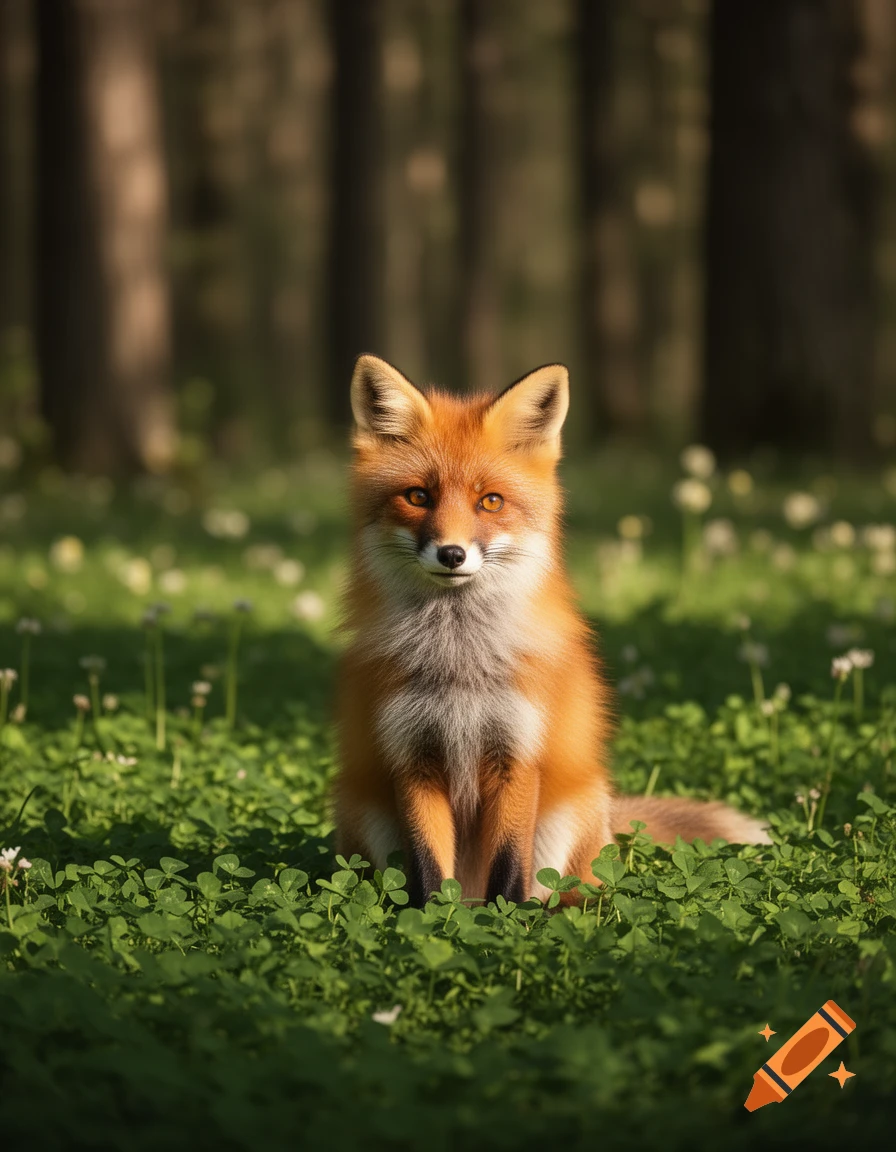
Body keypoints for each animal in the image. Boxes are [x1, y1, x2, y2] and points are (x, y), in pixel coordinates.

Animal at [334, 354, 770, 908]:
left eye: (490, 502)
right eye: (417, 496)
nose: (452, 554)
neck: (459, 668)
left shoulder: (519, 755)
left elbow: (508, 865)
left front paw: (504, 920)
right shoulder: (412, 756)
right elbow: (429, 872)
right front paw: (433, 919)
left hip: (567, 817)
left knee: (570, 893)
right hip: (361, 807)